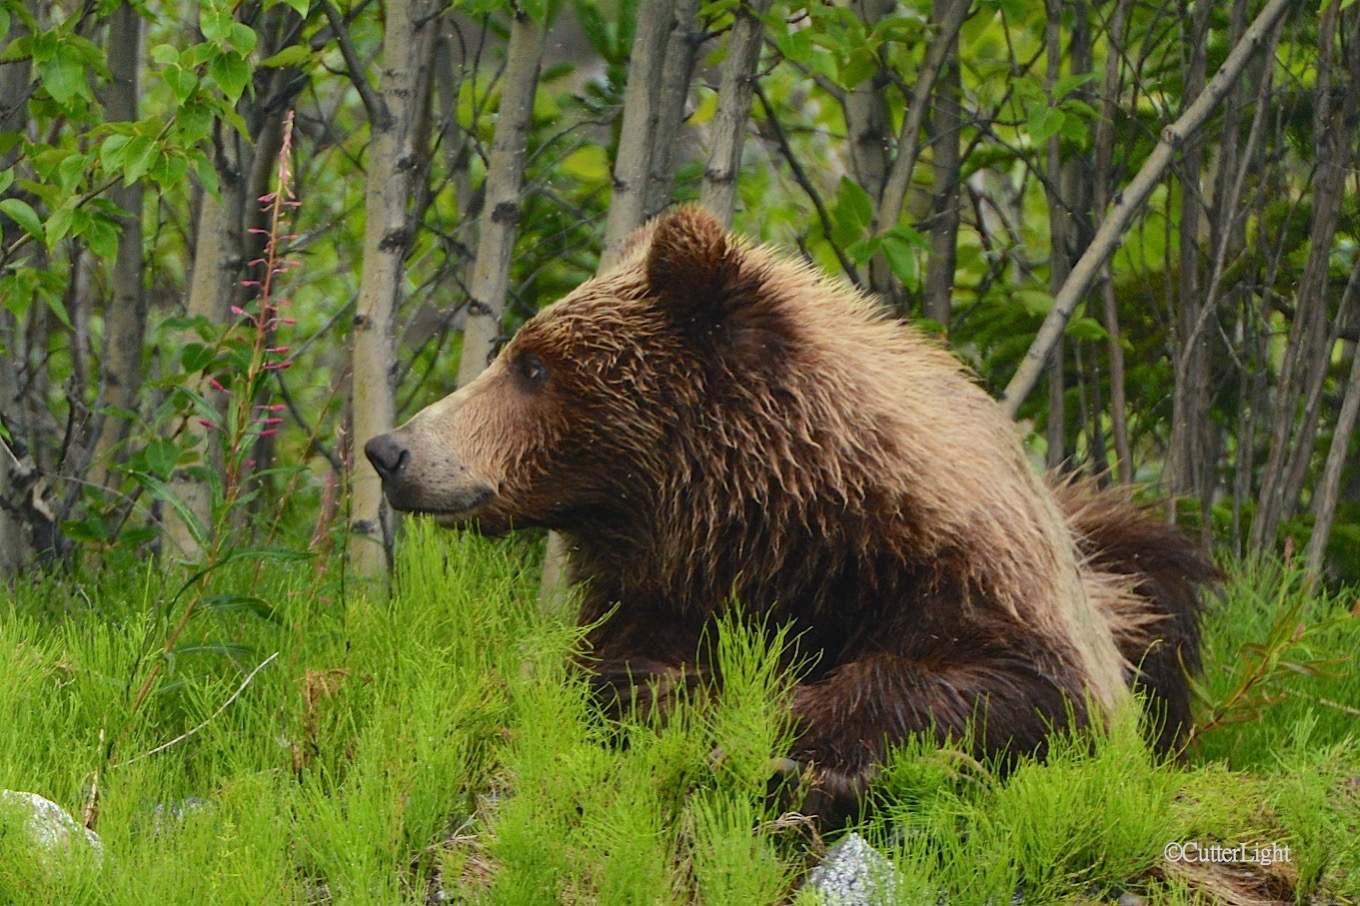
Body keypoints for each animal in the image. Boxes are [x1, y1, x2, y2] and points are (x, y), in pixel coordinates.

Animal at [364, 206, 1216, 817]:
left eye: (532, 364)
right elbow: (597, 666)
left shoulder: (969, 577)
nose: (391, 449)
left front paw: (771, 733)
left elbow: (1012, 685)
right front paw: (658, 690)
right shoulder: (661, 587)